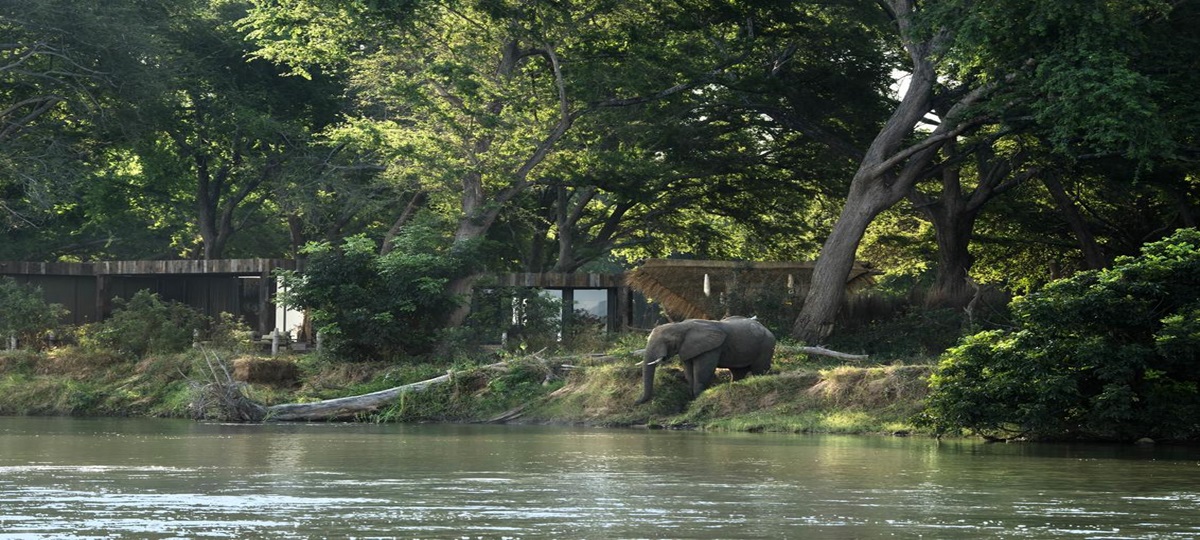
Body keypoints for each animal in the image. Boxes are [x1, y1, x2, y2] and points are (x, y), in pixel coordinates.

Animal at [633, 314, 772, 403]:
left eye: (668, 342)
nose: (636, 402)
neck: (681, 326)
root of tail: (767, 329)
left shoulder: (711, 347)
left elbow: (702, 371)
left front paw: (698, 397)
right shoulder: (687, 347)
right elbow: (689, 372)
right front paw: (693, 398)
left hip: (766, 345)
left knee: (759, 370)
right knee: (738, 372)